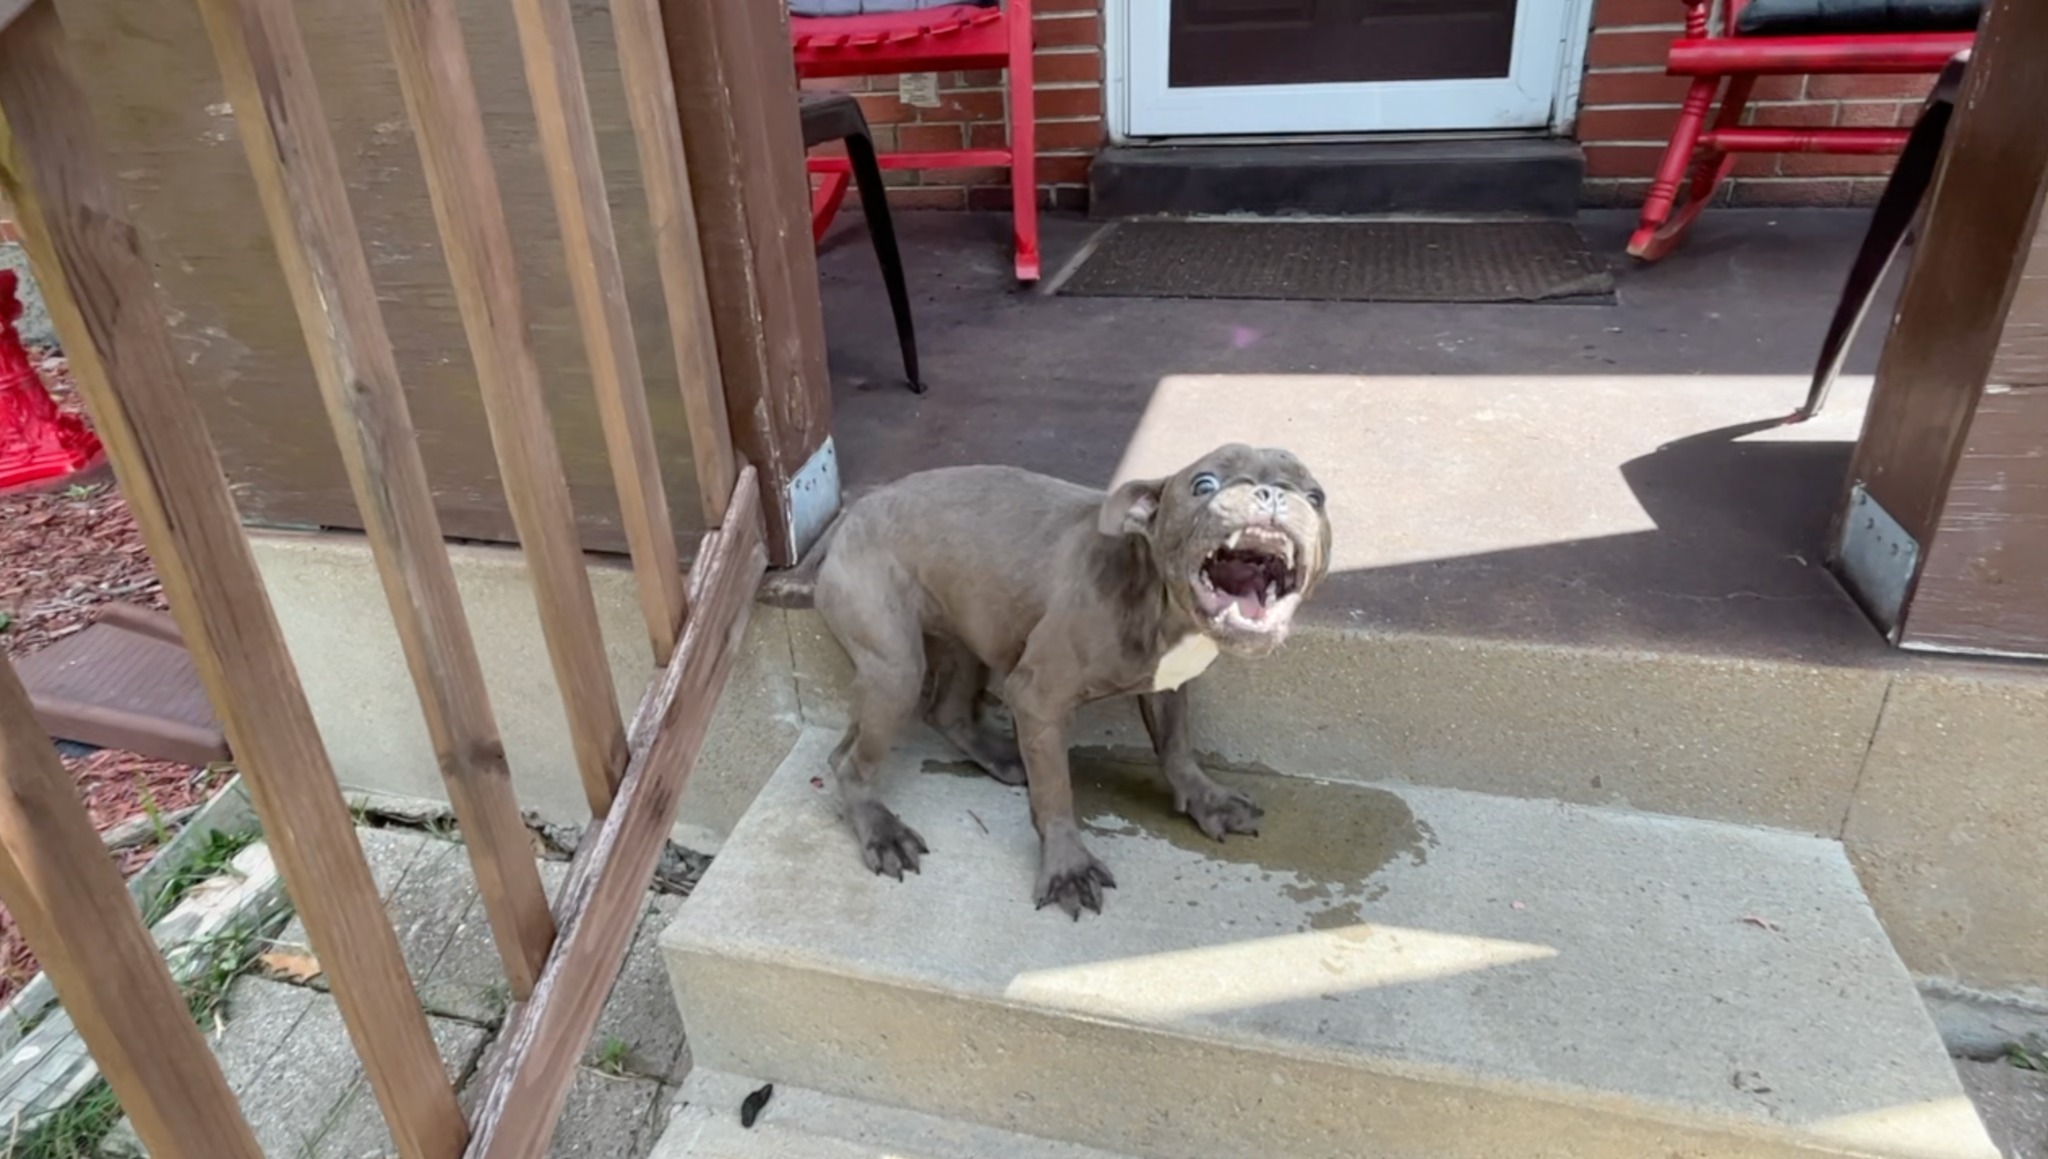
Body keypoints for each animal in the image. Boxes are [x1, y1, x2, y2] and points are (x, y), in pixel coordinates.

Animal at [806, 442, 1335, 917]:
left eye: (1317, 497)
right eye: (1204, 484)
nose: (1271, 492)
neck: (1156, 598)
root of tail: (851, 516)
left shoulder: (1167, 687)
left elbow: (1176, 746)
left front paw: (1208, 800)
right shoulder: (1037, 697)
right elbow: (1056, 792)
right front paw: (1068, 870)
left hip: (968, 630)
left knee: (946, 711)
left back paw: (1002, 757)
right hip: (895, 670)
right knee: (849, 760)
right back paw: (882, 831)